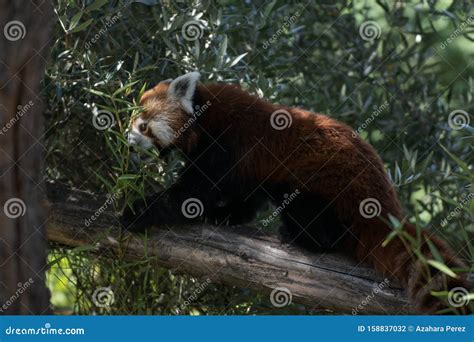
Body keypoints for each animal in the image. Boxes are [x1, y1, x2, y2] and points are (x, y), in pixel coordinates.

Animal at [122, 71, 470, 312]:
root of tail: (386, 207)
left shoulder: (226, 144)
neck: (204, 114)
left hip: (326, 188)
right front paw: (229, 214)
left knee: (318, 222)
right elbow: (243, 193)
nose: (127, 139)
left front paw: (137, 211)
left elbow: (192, 192)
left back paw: (298, 236)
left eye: (142, 124)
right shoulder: (246, 165)